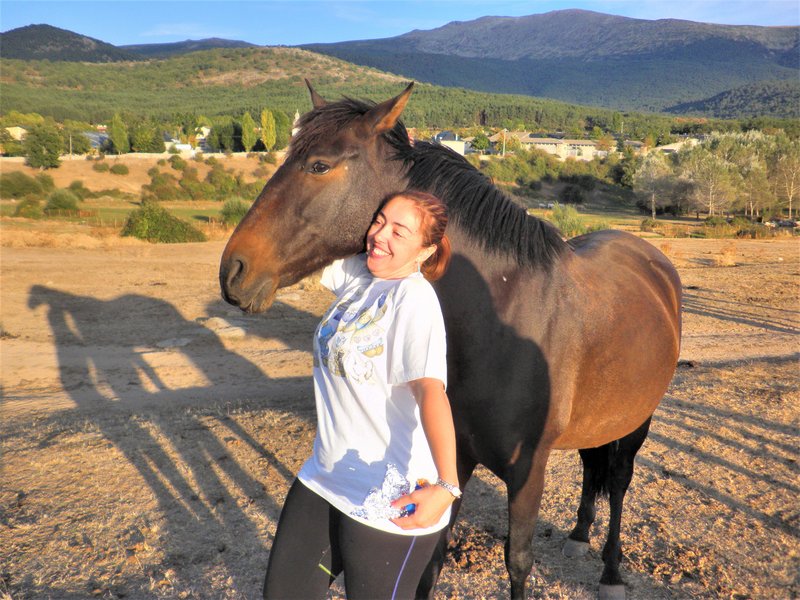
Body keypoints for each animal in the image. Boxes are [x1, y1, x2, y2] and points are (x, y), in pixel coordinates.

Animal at [219, 81, 680, 600]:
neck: (501, 318)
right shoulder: (454, 461)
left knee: (618, 482)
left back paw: (612, 571)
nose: (233, 270)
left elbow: (518, 562)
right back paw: (580, 535)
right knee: (591, 466)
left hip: (637, 421)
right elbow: (431, 559)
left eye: (319, 165)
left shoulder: (528, 473)